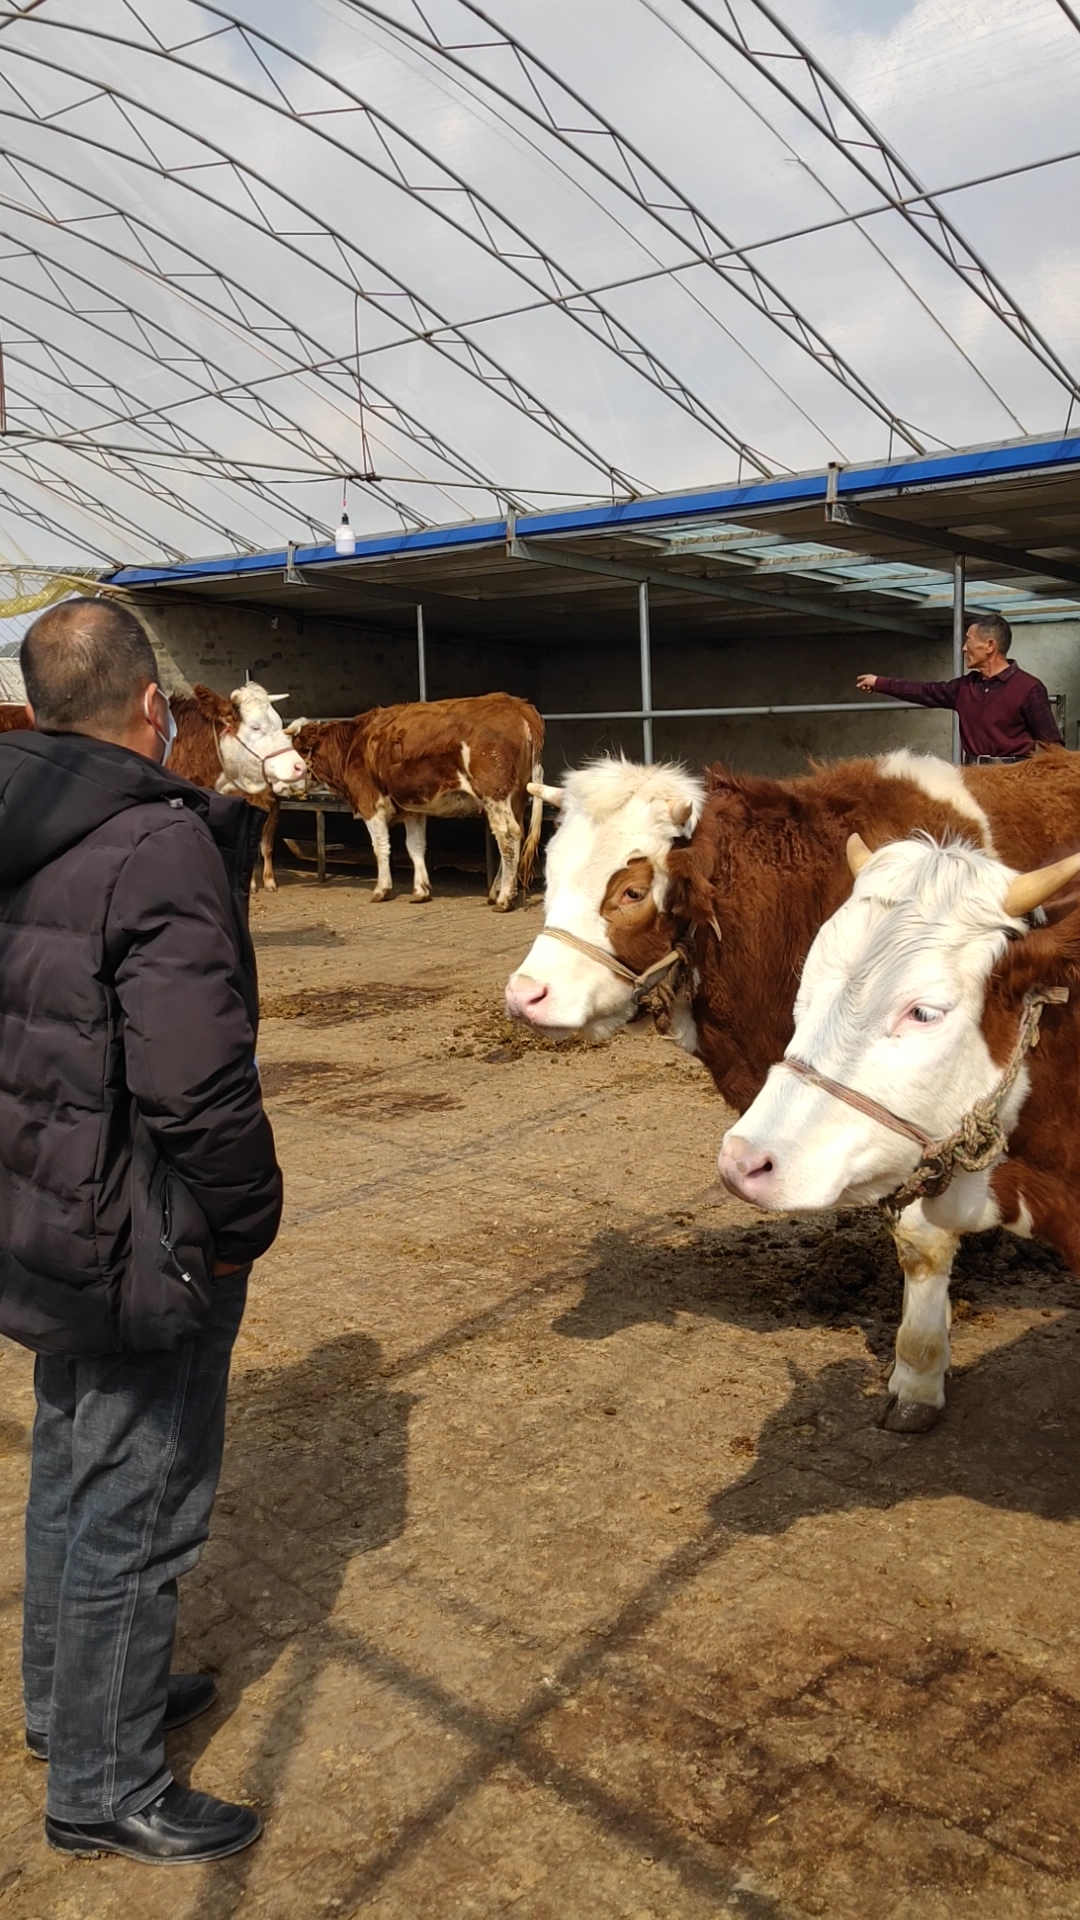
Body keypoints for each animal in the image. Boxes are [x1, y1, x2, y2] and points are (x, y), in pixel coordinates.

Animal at [290, 695, 541, 910]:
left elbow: (380, 846)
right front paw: (421, 891)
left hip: (494, 793)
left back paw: (504, 898)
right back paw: (499, 892)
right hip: (516, 797)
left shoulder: (370, 802)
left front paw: (382, 889)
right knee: (513, 835)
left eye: (296, 749)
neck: (351, 744)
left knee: (507, 835)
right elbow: (415, 846)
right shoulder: (413, 809)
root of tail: (515, 703)